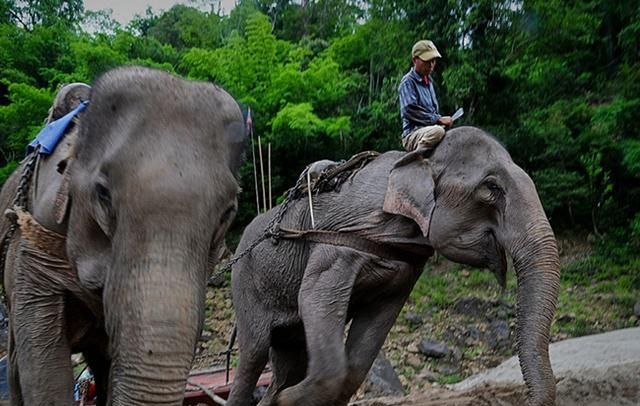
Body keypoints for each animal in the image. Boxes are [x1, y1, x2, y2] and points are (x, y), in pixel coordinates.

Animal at [228, 126, 556, 406]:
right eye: (491, 187)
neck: (420, 158)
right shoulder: (341, 242)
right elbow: (313, 297)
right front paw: (286, 400)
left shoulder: (404, 270)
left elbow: (362, 355)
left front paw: (283, 398)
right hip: (245, 284)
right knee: (253, 356)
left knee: (289, 357)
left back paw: (274, 394)